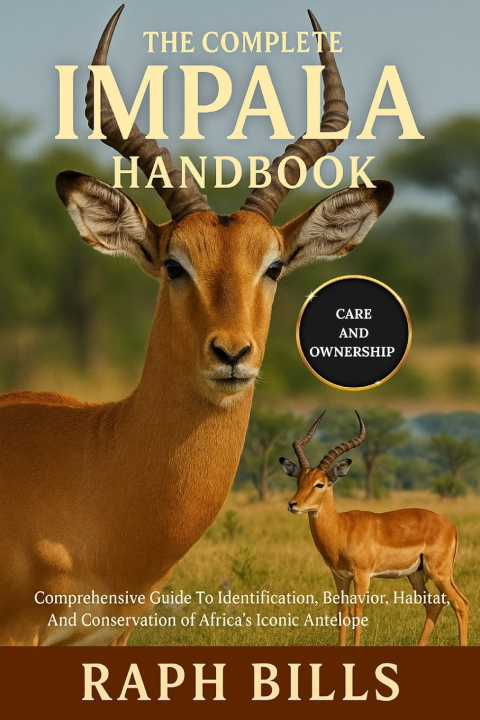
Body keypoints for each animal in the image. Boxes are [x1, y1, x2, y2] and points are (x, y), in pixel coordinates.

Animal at [280, 412, 469, 646]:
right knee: (434, 604)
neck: (342, 528)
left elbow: (357, 613)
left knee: (460, 604)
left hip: (439, 573)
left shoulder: (362, 576)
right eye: (299, 480)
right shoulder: (340, 577)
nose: (293, 504)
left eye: (319, 484)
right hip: (416, 575)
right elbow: (342, 614)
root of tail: (450, 525)